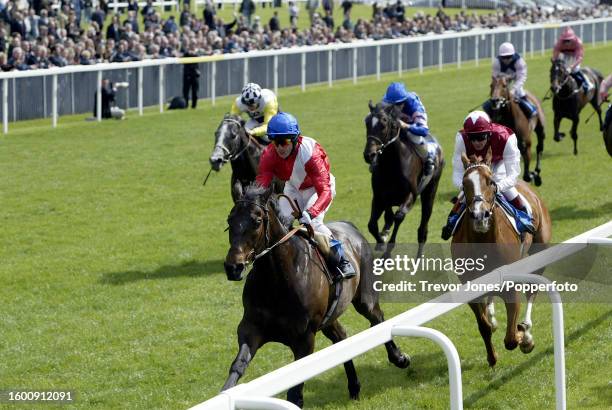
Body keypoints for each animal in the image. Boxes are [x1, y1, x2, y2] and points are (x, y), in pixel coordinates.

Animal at [222, 185, 408, 406]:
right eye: (230, 220)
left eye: (257, 221)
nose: (233, 267)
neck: (278, 282)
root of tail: (351, 226)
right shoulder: (251, 328)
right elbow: (237, 365)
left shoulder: (305, 338)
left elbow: (295, 393)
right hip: (329, 318)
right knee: (341, 337)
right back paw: (354, 387)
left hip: (365, 299)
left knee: (377, 319)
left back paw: (399, 358)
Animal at [364, 101, 444, 256]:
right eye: (367, 123)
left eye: (383, 124)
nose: (369, 155)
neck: (392, 166)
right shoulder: (379, 197)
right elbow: (373, 224)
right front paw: (381, 242)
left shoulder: (411, 195)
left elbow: (398, 216)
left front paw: (387, 253)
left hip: (430, 191)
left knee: (422, 230)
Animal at [452, 149, 552, 366]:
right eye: (464, 184)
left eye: (490, 181)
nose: (479, 216)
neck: (482, 242)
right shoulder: (470, 288)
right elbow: (484, 326)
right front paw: (492, 356)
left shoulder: (511, 286)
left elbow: (511, 339)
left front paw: (524, 337)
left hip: (539, 251)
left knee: (532, 291)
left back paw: (526, 330)